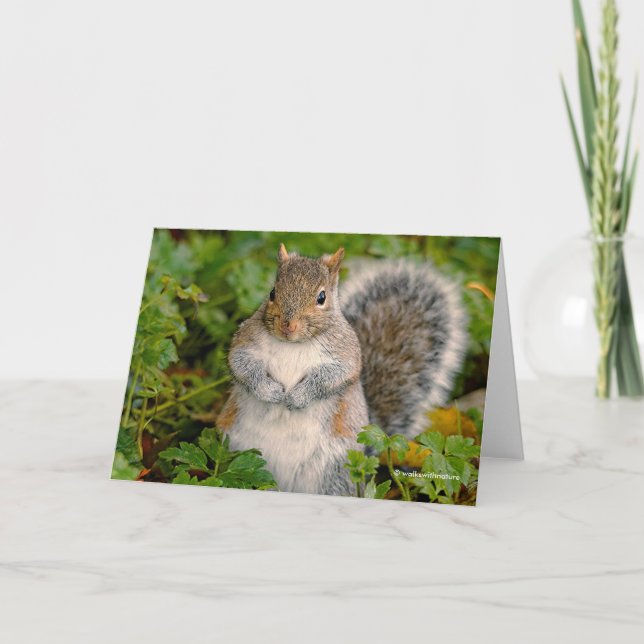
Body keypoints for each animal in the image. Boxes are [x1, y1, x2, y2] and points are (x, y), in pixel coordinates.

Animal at [217, 243, 468, 496]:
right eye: (272, 293)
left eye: (321, 297)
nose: (288, 326)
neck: (293, 344)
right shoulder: (246, 343)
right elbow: (242, 365)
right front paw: (269, 391)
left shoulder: (346, 356)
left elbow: (331, 378)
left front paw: (298, 397)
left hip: (336, 471)